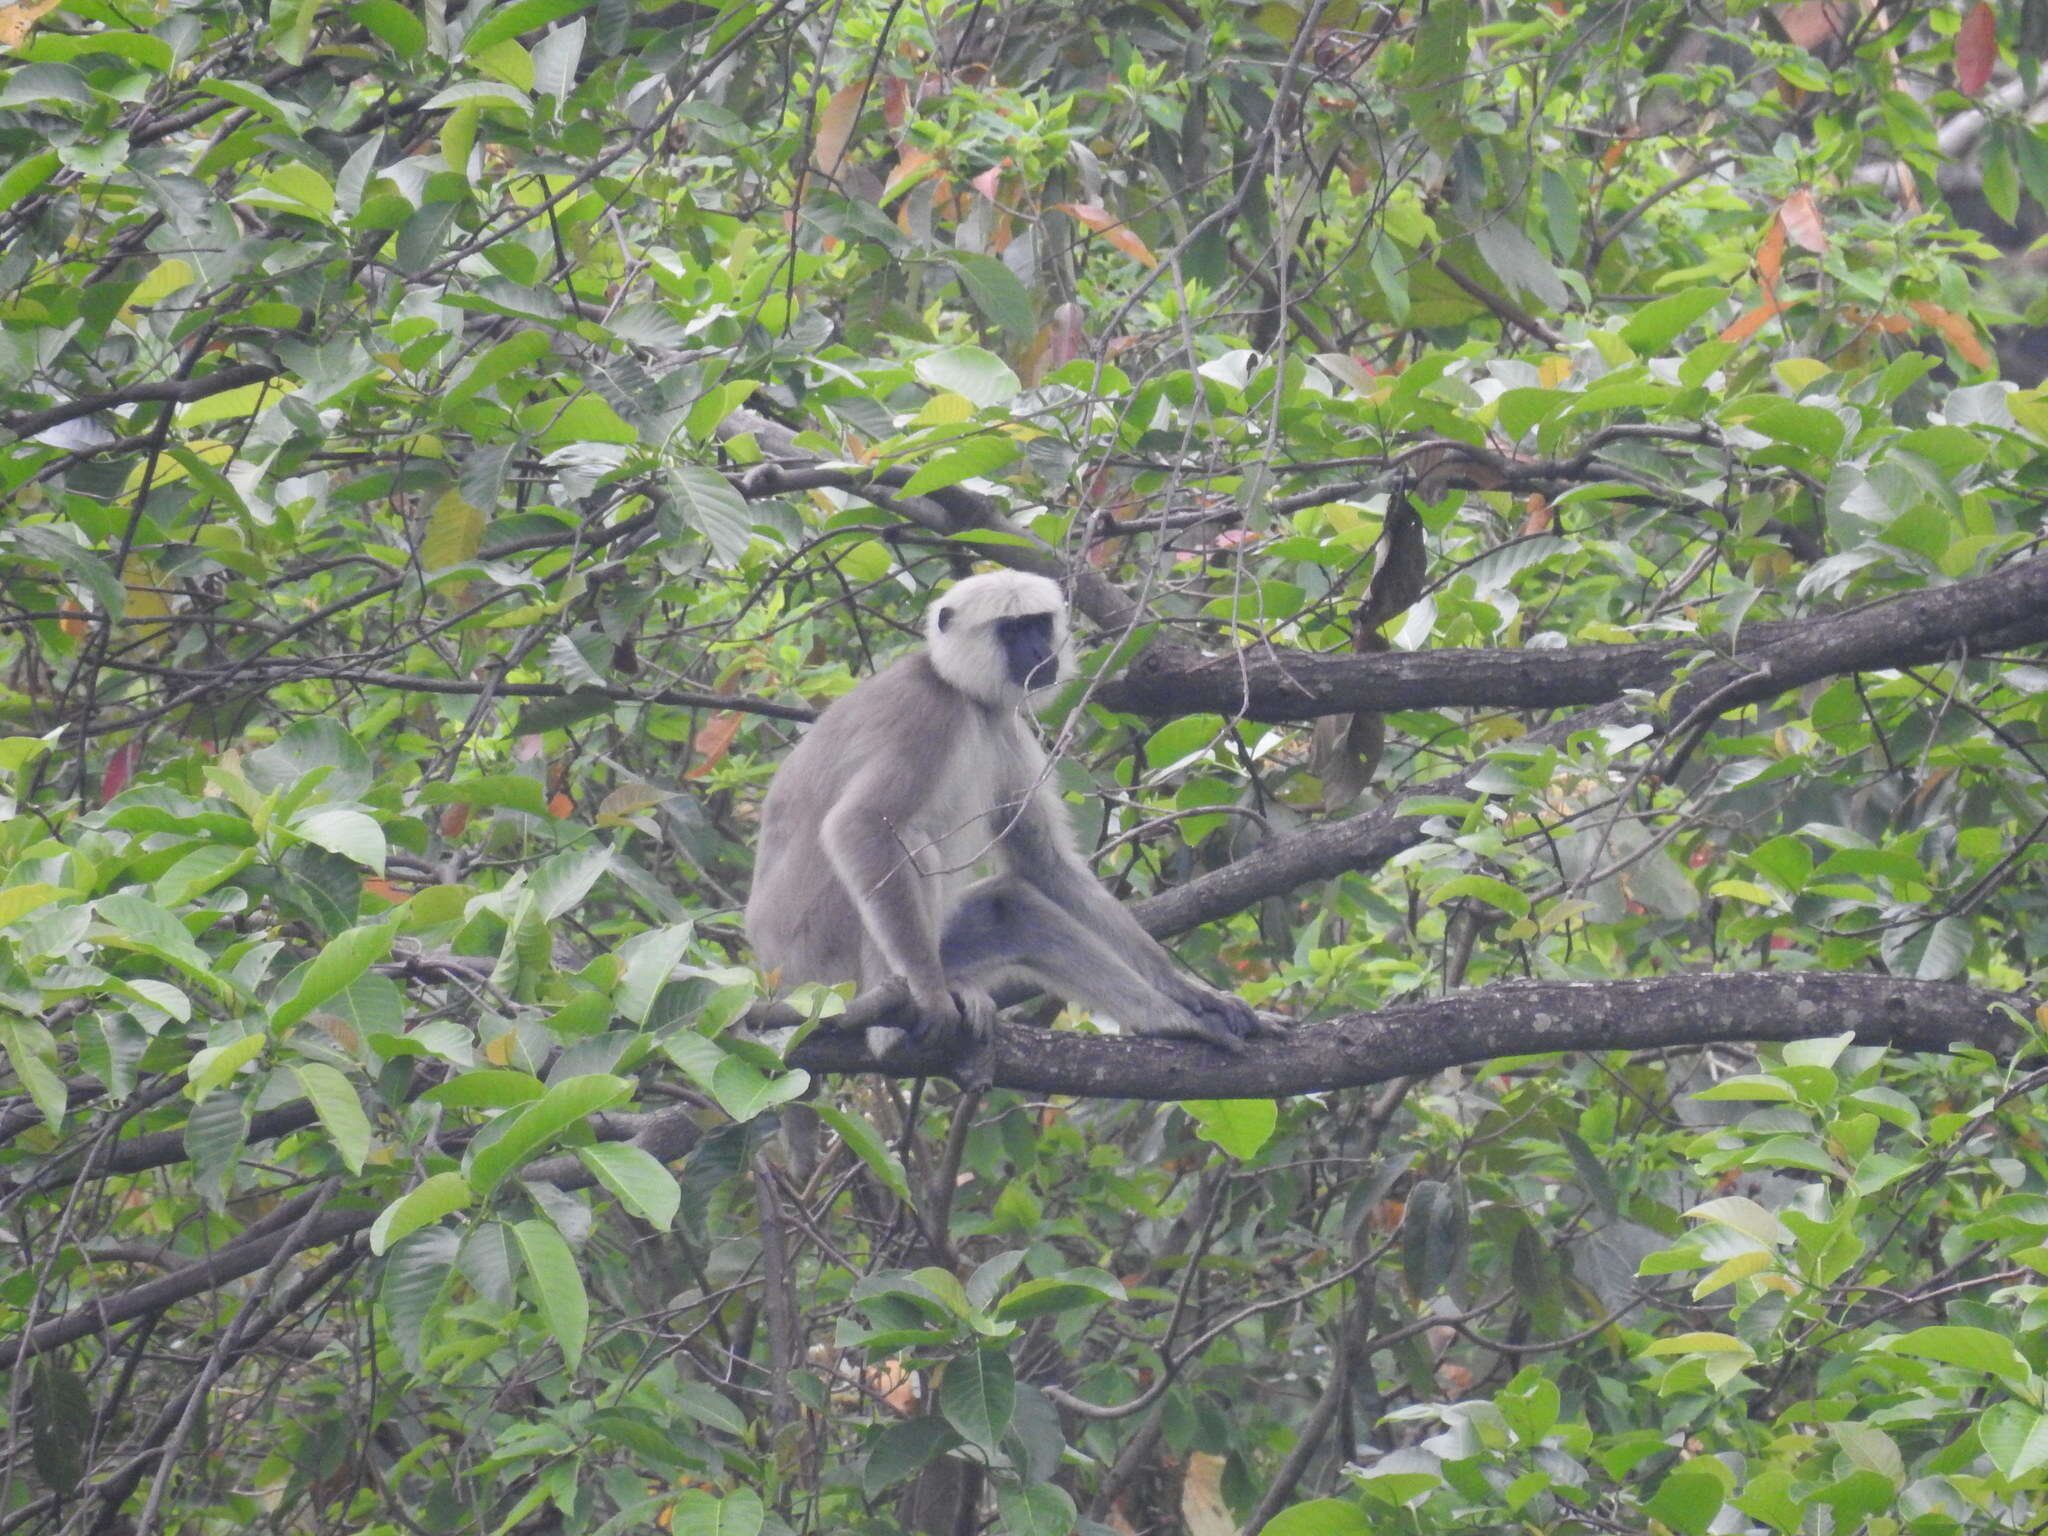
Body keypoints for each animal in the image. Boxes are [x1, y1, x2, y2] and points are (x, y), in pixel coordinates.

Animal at [749, 573, 1261, 1056]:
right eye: (1011, 630)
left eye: (1038, 624)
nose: (1038, 651)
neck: (960, 691)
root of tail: (774, 974)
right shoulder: (927, 713)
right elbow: (858, 826)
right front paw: (931, 995)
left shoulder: (1004, 727)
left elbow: (1044, 863)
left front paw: (1190, 994)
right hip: (828, 970)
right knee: (911, 844)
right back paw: (891, 1024)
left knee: (1012, 906)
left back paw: (1172, 1020)